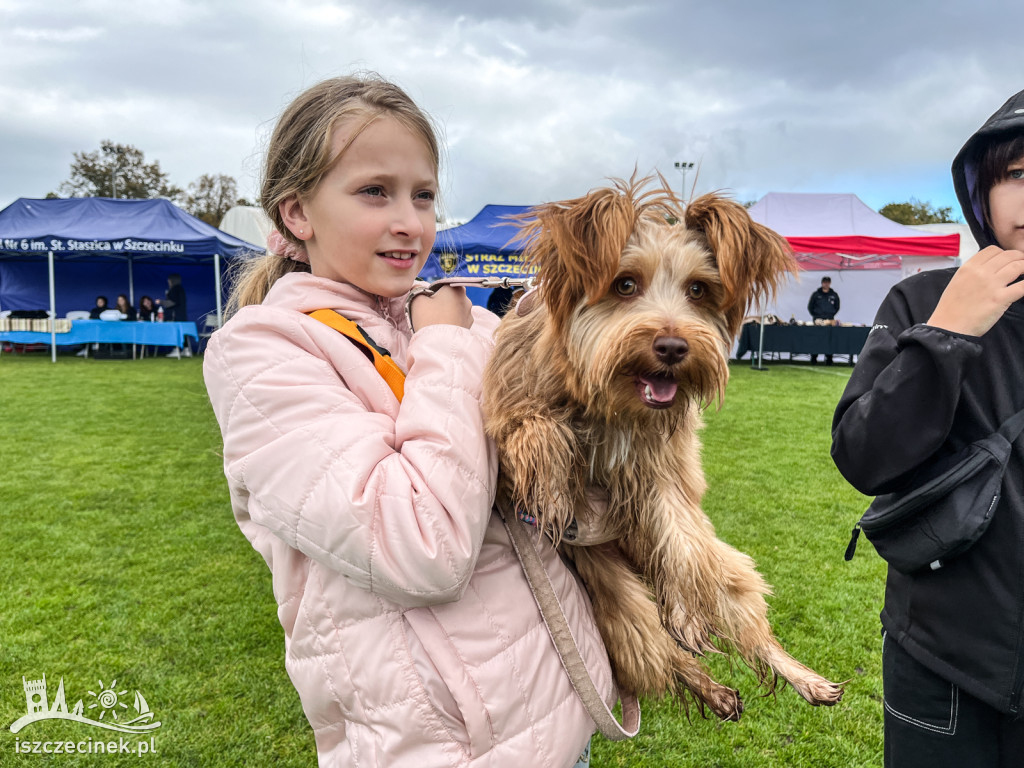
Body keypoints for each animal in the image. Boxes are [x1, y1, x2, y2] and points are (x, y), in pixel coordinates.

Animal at [483, 177, 843, 720]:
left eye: (698, 289)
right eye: (625, 284)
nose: (673, 348)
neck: (609, 403)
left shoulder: (663, 471)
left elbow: (678, 534)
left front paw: (689, 614)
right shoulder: (507, 414)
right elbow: (539, 431)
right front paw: (554, 484)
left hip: (725, 572)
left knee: (750, 631)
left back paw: (802, 679)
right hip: (622, 607)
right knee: (663, 653)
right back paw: (712, 690)